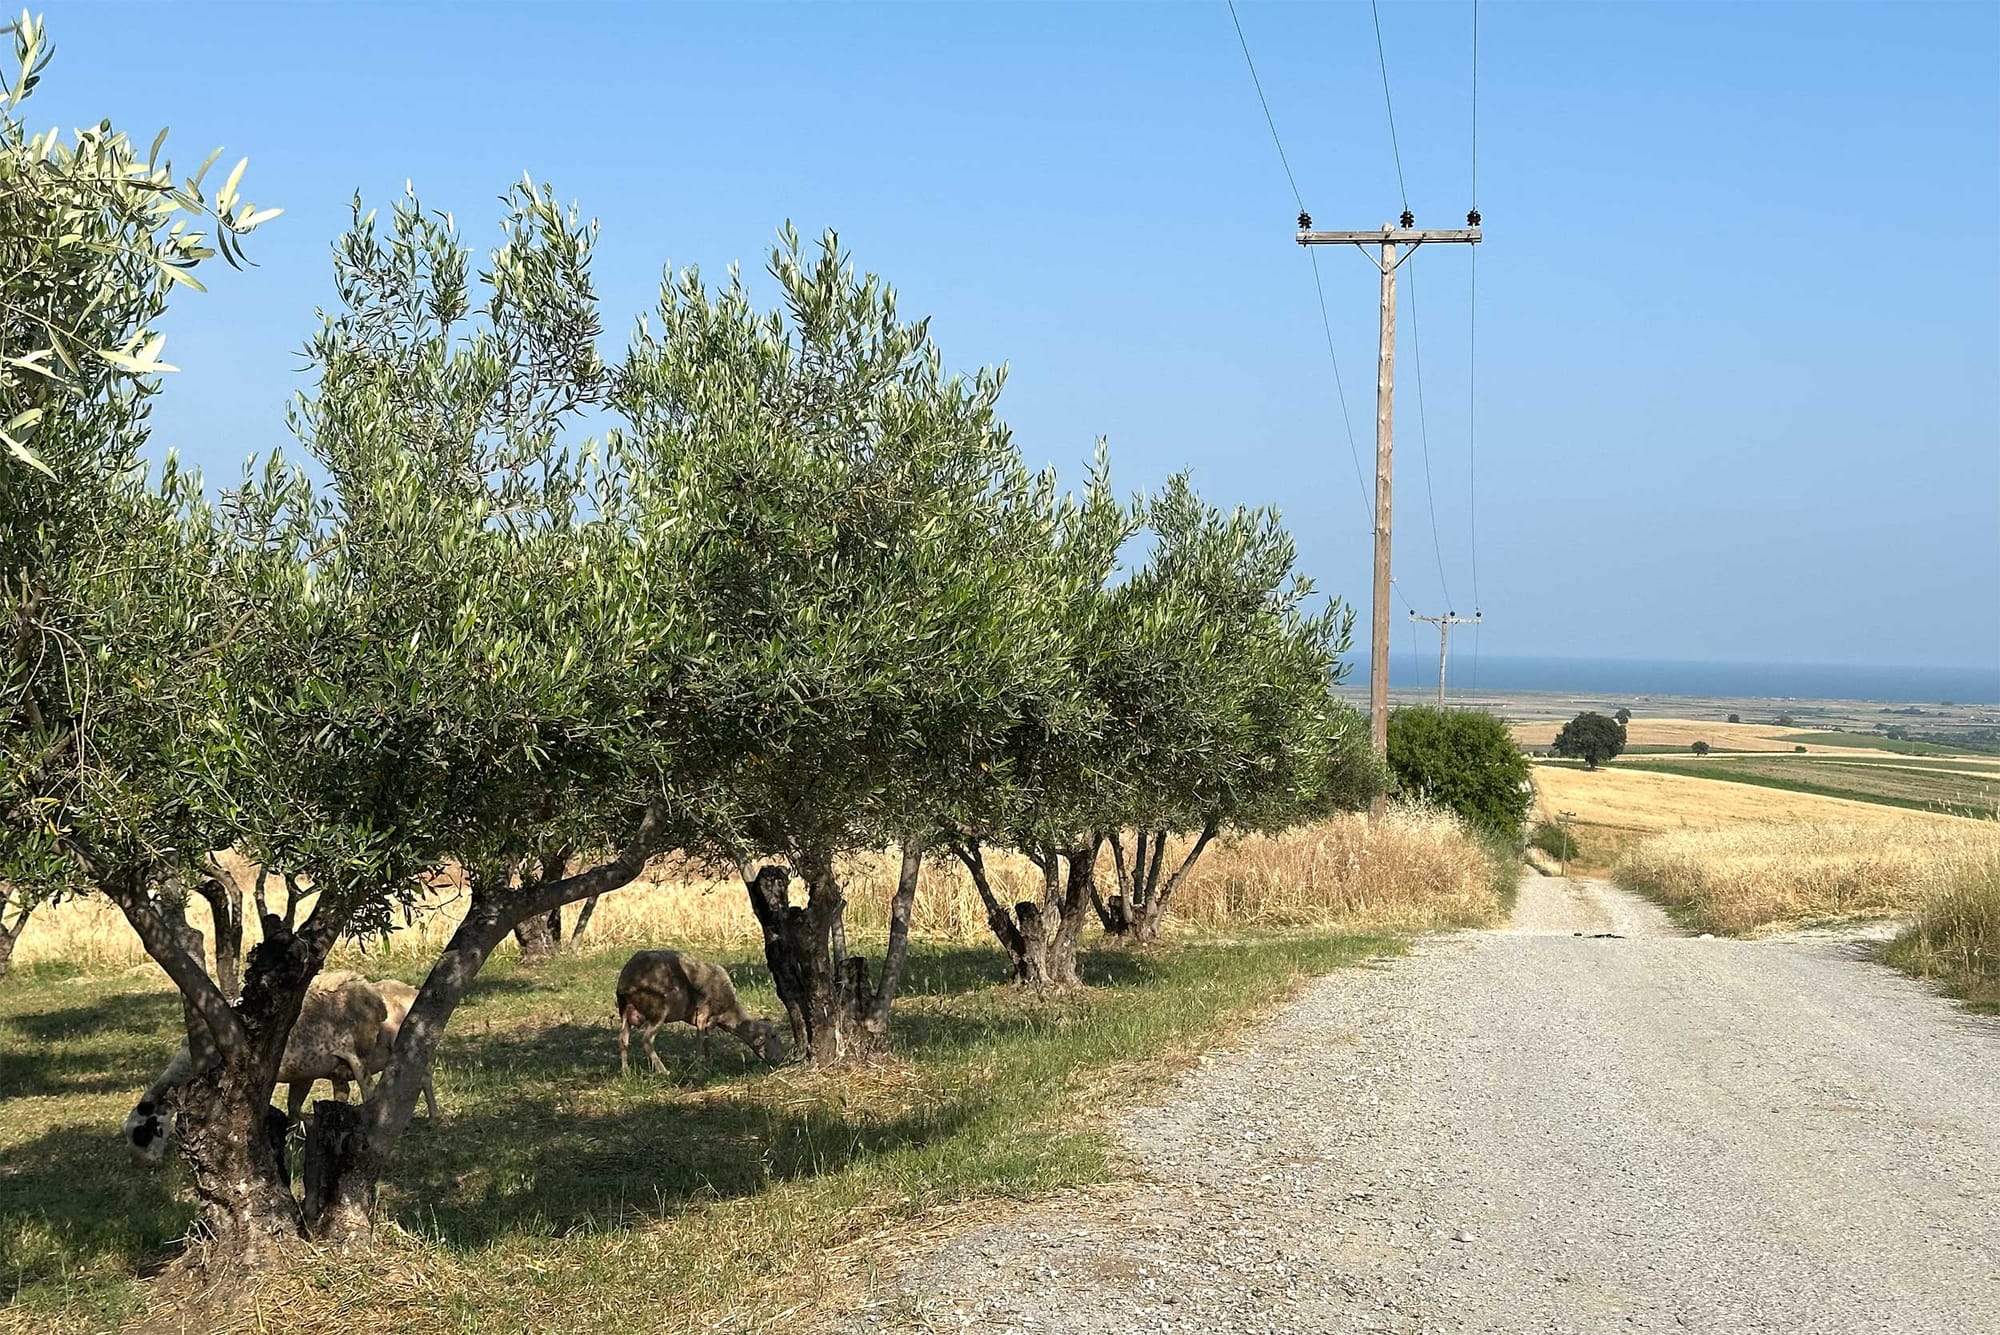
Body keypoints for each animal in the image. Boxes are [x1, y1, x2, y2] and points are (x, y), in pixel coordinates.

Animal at [125, 971, 404, 1165]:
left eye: (143, 1133)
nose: (146, 1165)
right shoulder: (304, 1072)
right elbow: (294, 1109)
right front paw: (296, 1141)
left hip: (360, 1056)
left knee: (370, 1092)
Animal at [615, 949, 780, 1073]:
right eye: (773, 1035)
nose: (780, 1059)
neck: (730, 1012)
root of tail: (626, 981)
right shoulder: (705, 1015)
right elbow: (701, 1040)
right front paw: (700, 1065)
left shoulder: (708, 1021)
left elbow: (706, 1039)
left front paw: (707, 1062)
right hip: (659, 1010)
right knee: (647, 1040)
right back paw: (664, 1071)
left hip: (625, 1010)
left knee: (623, 1039)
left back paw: (626, 1071)